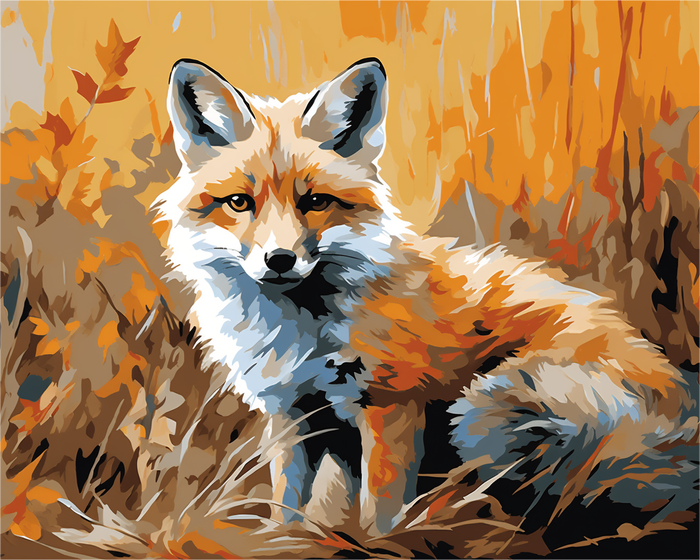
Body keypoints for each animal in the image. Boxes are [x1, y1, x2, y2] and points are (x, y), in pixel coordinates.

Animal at [154, 57, 698, 536]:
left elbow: (379, 511)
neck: (301, 332)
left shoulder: (389, 404)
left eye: (315, 201)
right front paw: (285, 540)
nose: (280, 260)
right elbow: (286, 502)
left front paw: (379, 545)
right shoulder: (294, 415)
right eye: (239, 203)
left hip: (489, 404)